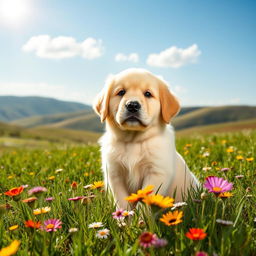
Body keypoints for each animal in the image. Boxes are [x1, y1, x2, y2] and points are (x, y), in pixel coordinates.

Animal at [93, 68, 199, 210]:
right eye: (121, 92)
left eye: (148, 94)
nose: (132, 105)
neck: (133, 141)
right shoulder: (114, 174)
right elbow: (122, 201)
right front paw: (125, 216)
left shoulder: (157, 173)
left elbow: (145, 200)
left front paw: (140, 216)